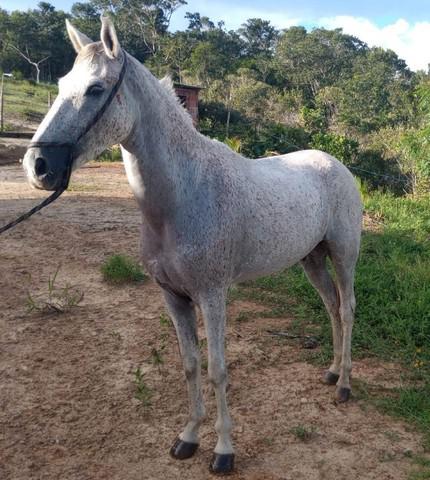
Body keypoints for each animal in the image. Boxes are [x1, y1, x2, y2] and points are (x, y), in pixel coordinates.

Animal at [21, 16, 362, 474]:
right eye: (59, 84)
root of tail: (336, 164)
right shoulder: (174, 297)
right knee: (330, 306)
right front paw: (188, 438)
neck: (184, 196)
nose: (39, 166)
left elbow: (217, 369)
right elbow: (189, 365)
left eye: (95, 89)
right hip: (311, 260)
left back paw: (343, 385)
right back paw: (330, 371)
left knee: (346, 309)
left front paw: (223, 451)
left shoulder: (212, 295)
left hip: (343, 256)